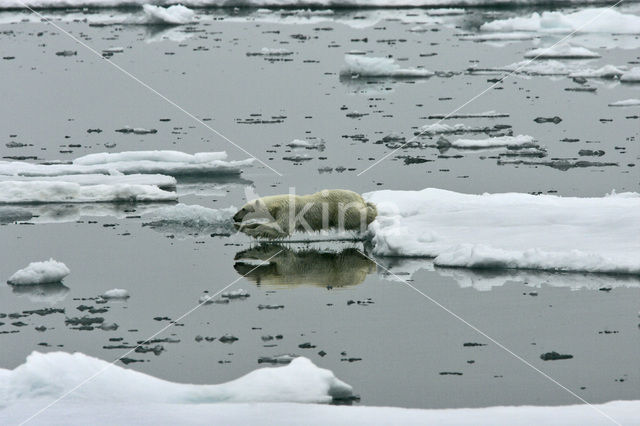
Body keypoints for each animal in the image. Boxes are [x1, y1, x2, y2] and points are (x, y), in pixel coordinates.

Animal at [234, 189, 376, 238]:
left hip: (344, 207)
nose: (234, 217)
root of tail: (360, 198)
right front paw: (243, 227)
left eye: (243, 209)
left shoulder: (287, 211)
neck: (277, 204)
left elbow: (282, 227)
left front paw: (250, 230)